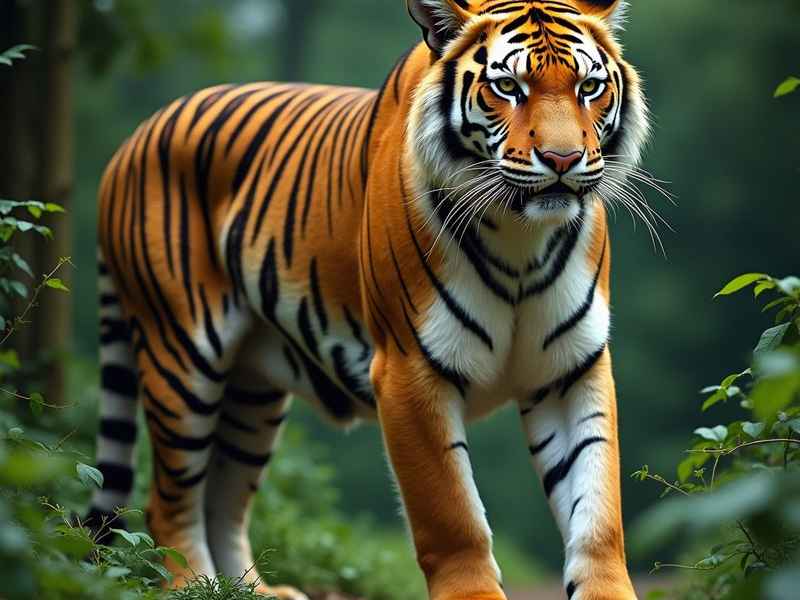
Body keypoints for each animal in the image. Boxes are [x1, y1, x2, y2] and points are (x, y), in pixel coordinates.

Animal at [88, 0, 651, 598]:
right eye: (508, 87)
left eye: (589, 87)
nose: (563, 159)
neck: (520, 237)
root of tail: (130, 143)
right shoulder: (409, 370)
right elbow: (452, 514)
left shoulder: (572, 369)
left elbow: (596, 512)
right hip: (182, 357)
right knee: (168, 502)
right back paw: (190, 585)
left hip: (252, 390)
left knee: (223, 496)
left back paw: (252, 592)